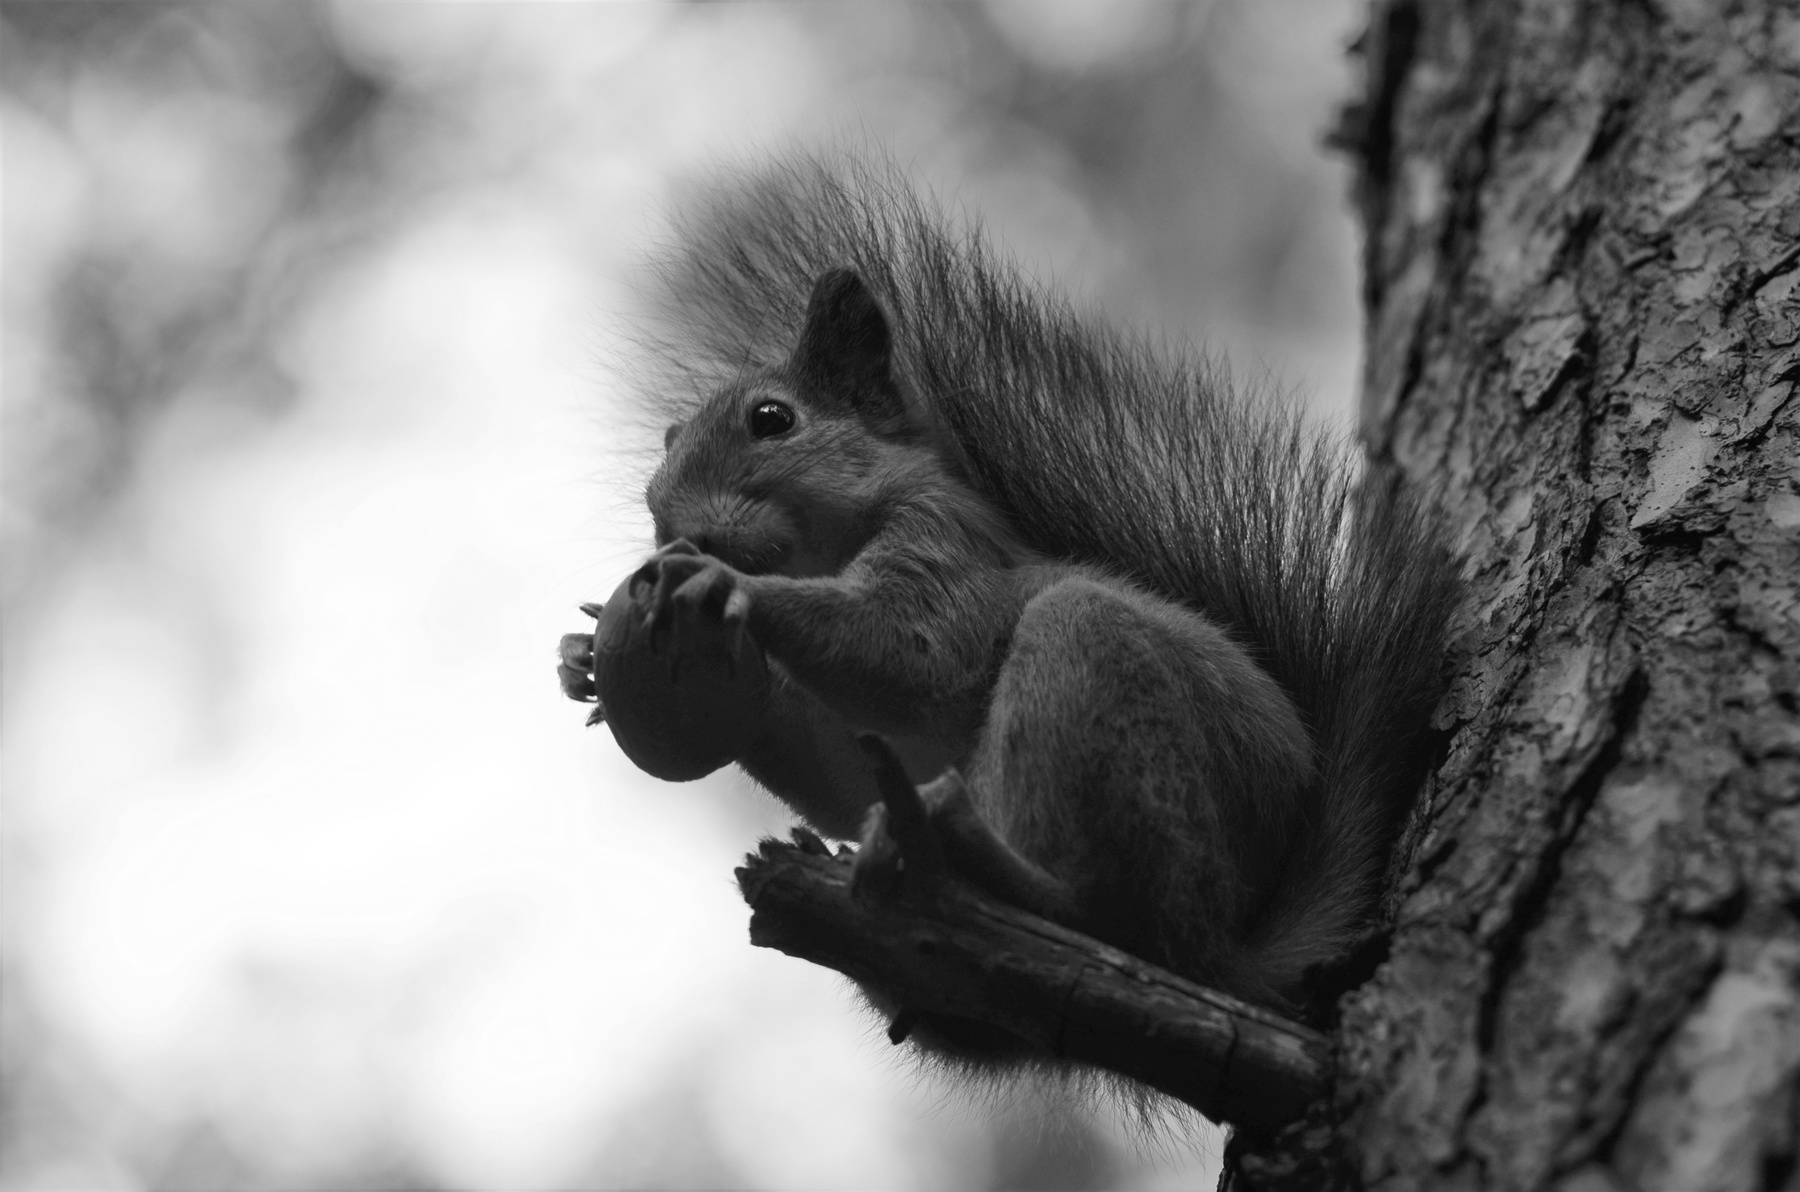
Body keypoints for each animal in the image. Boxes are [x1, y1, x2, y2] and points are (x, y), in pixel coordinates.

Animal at [559, 153, 1461, 1050]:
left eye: (772, 419)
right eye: (656, 475)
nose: (675, 531)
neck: (827, 551)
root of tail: (1230, 954)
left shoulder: (946, 546)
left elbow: (910, 654)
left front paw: (727, 587)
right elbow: (836, 770)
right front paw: (588, 666)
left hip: (1102, 686)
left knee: (1113, 915)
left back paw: (978, 857)